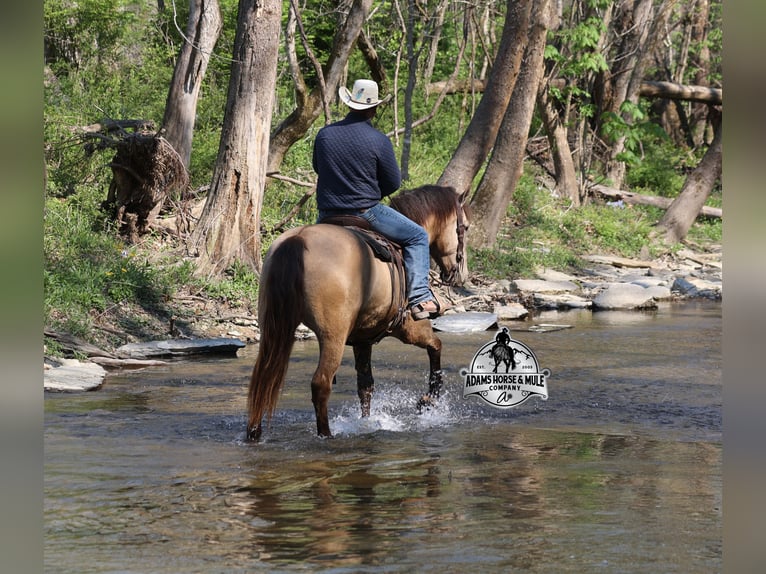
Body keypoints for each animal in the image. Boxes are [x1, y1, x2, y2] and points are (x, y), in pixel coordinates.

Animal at [246, 184, 469, 440]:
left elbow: (365, 386)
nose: (461, 275)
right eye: (465, 227)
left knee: (263, 377)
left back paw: (254, 433)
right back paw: (326, 434)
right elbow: (436, 347)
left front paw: (367, 422)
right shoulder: (411, 328)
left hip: (272, 330)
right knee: (320, 384)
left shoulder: (363, 340)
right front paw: (427, 402)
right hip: (333, 337)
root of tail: (297, 239)